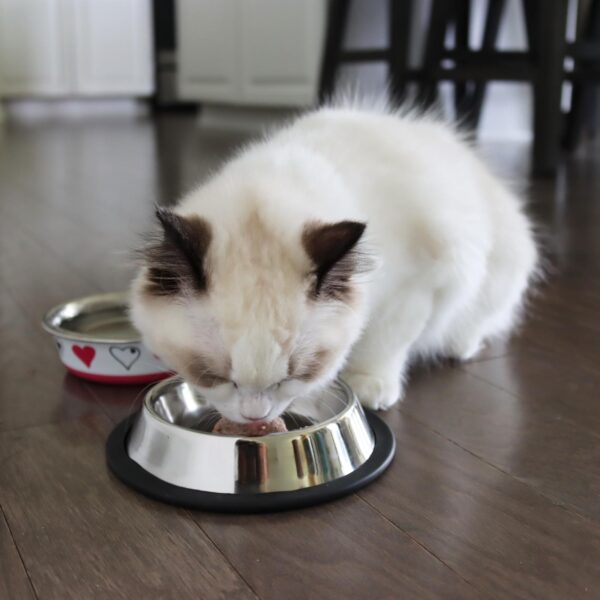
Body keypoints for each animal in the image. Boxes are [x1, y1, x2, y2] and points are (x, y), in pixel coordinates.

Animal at [131, 101, 540, 424]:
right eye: (215, 377)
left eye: (292, 377)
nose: (255, 417)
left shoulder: (417, 286)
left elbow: (387, 341)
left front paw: (371, 386)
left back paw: (460, 346)